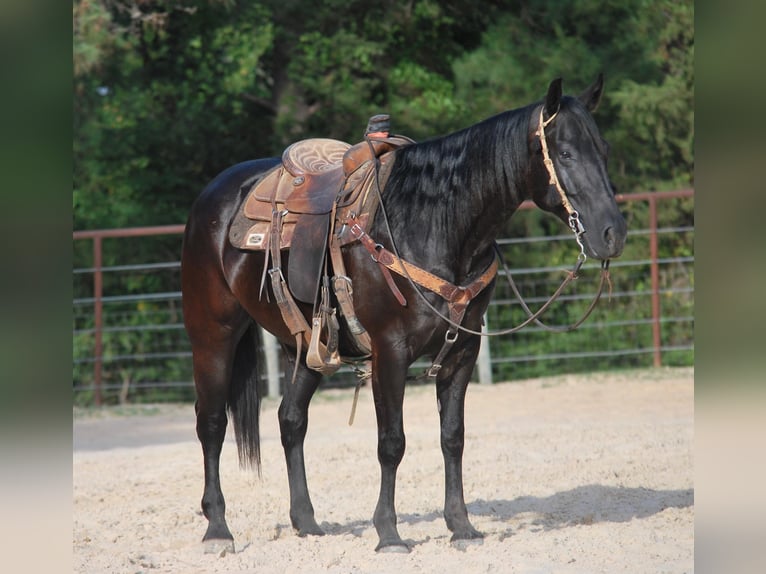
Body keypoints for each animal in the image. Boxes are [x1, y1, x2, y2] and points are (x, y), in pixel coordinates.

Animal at [183, 74, 628, 556]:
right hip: (213, 334)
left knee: (291, 420)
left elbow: (453, 438)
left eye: (604, 149)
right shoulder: (390, 352)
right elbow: (391, 443)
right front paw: (389, 533)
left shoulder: (463, 351)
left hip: (306, 346)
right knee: (211, 423)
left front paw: (461, 526)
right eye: (565, 153)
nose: (613, 234)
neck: (432, 223)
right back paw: (217, 529)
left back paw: (306, 520)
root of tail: (214, 195)